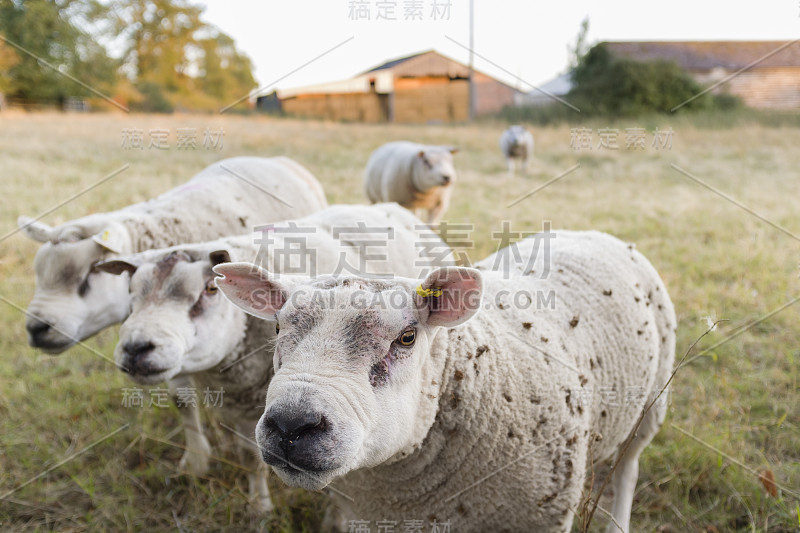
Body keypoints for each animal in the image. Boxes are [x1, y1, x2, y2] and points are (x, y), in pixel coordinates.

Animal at [17, 154, 328, 474]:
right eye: (39, 271)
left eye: (90, 272)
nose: (37, 328)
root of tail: (272, 158)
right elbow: (182, 401)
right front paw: (196, 461)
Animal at [212, 231, 676, 528]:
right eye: (276, 328)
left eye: (407, 337)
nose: (291, 425)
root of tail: (597, 233)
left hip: (651, 405)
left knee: (627, 470)